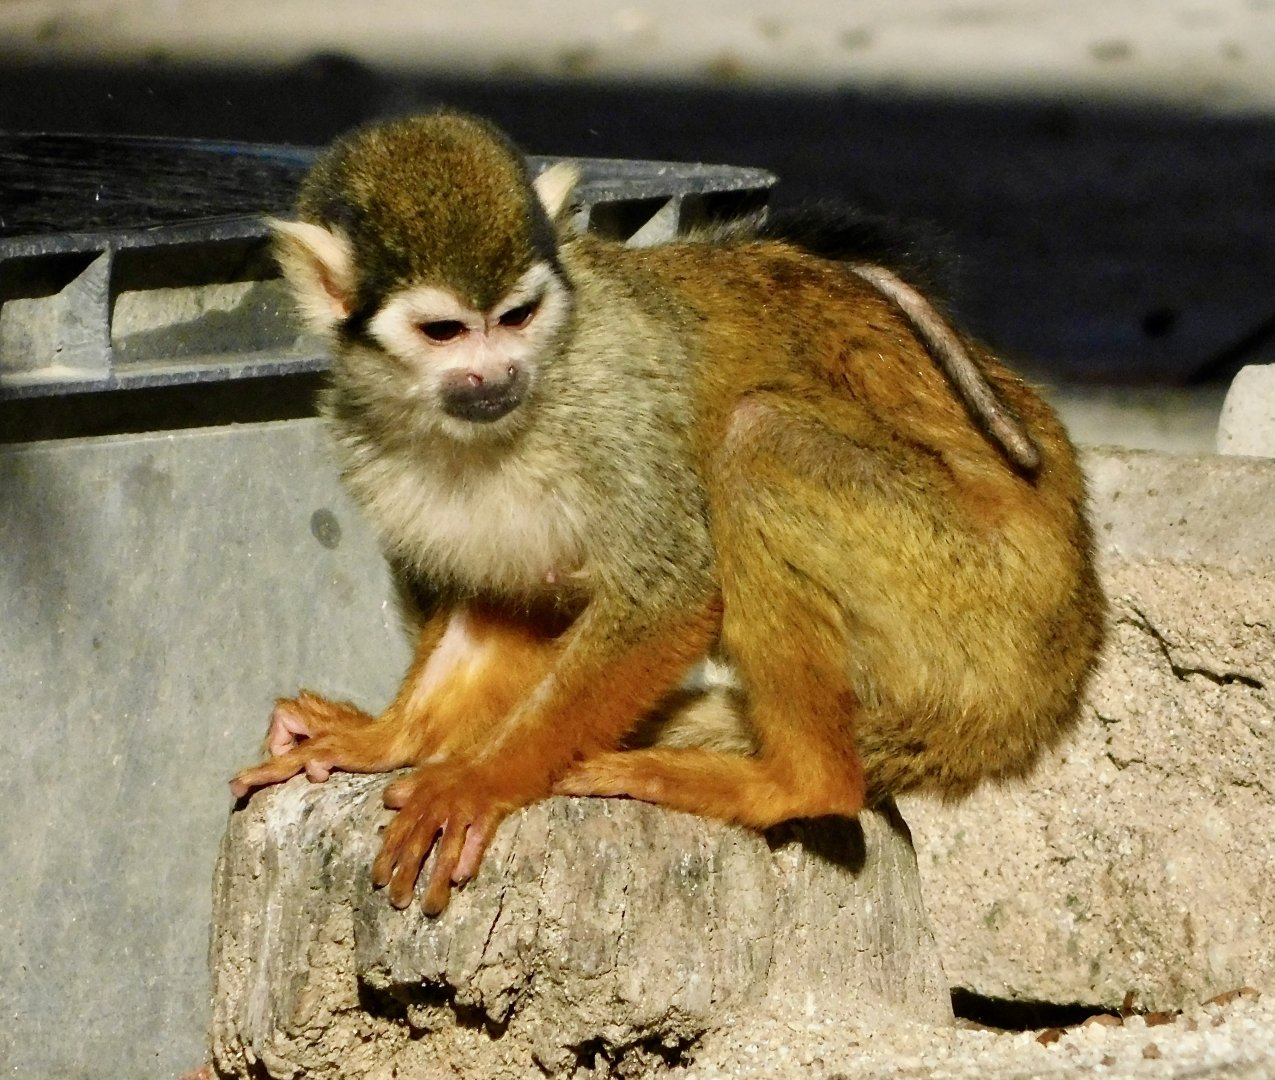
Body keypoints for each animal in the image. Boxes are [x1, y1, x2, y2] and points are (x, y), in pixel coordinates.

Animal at [230, 111, 1106, 916]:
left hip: (973, 601)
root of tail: (1062, 663)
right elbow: (498, 600)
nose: (495, 376)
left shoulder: (607, 403)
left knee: (757, 440)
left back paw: (794, 783)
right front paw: (385, 738)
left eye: (516, 317)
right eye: (443, 331)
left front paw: (479, 781)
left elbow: (668, 593)